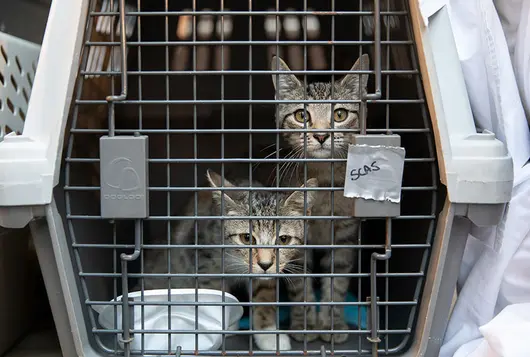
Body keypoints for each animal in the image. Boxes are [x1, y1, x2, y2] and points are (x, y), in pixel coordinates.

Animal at [138, 170, 316, 350]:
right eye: (246, 238)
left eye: (283, 239)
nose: (265, 264)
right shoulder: (204, 258)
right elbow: (216, 294)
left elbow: (263, 294)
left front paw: (268, 333)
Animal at [268, 53, 368, 342]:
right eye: (301, 115)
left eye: (340, 114)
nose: (322, 135)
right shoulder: (295, 236)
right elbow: (300, 284)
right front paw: (304, 323)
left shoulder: (345, 236)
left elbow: (337, 283)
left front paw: (332, 323)